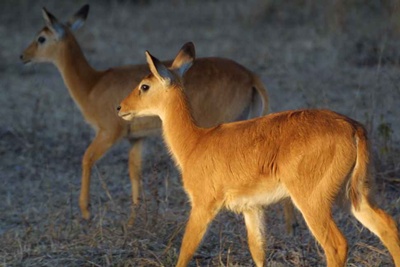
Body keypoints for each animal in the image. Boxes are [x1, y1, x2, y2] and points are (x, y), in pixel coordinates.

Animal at [18, 3, 298, 228]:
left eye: (41, 38)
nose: (22, 55)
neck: (92, 84)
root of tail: (251, 75)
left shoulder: (109, 133)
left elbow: (86, 159)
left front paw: (86, 212)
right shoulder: (136, 139)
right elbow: (134, 172)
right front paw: (133, 217)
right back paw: (289, 225)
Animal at [117, 43, 400, 266]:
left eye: (144, 85)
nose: (120, 107)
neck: (195, 142)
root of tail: (353, 128)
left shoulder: (203, 204)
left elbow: (185, 251)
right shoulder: (252, 208)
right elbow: (258, 251)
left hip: (313, 201)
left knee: (337, 245)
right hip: (354, 194)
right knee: (389, 226)